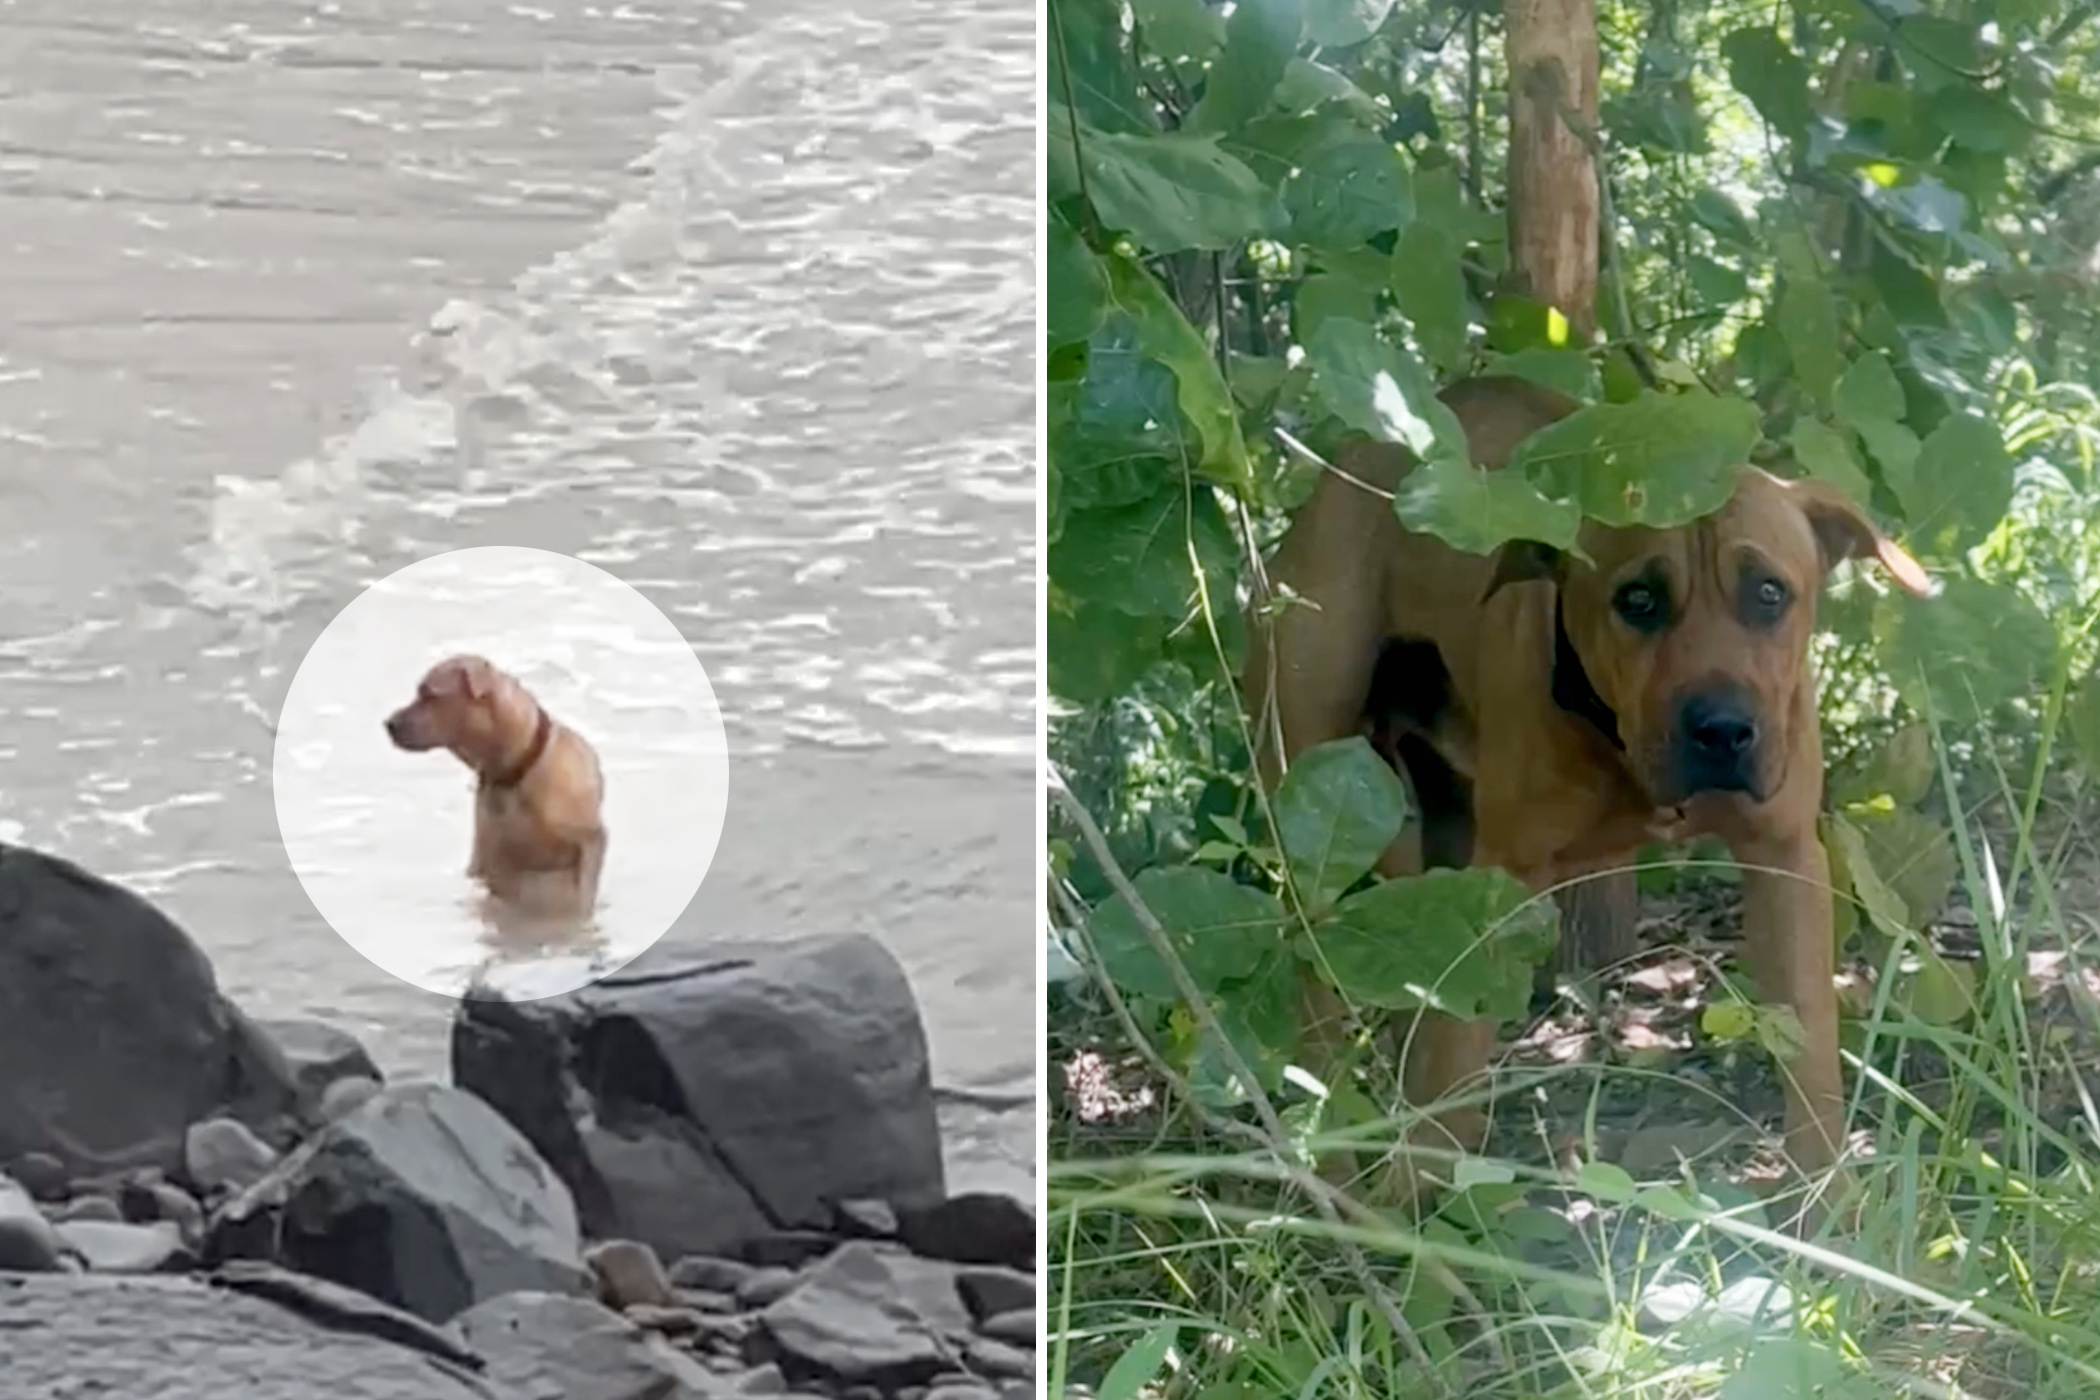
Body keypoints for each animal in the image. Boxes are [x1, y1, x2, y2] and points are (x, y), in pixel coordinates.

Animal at [386, 659, 609, 919]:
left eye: (429, 694)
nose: (388, 723)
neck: (514, 772)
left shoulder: (589, 842)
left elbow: (582, 891)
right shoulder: (491, 856)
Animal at [1243, 375, 1931, 1208]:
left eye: (1770, 593)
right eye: (1637, 600)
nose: (1721, 729)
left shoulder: (1786, 858)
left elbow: (1809, 1049)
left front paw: (1827, 1200)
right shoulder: (1501, 880)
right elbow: (1456, 1047)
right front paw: (1425, 1204)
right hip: (1307, 787)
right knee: (1317, 987)